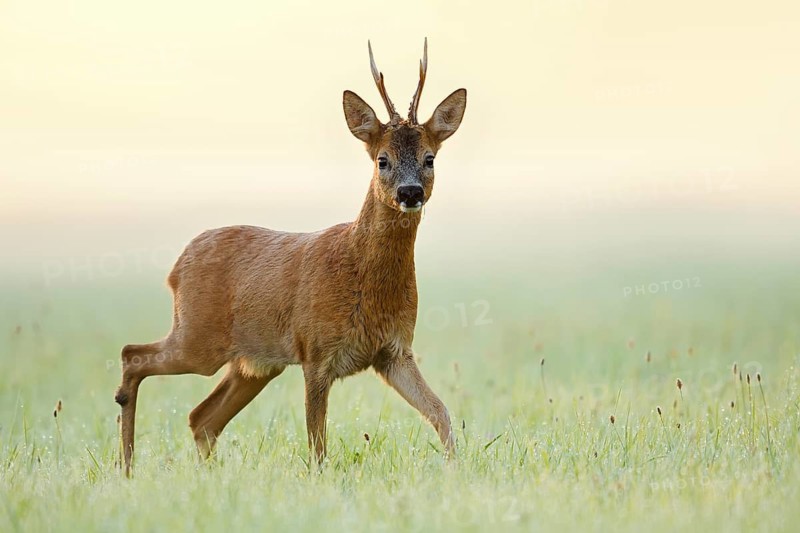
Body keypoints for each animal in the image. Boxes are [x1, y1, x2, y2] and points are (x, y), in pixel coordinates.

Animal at [114, 39, 467, 476]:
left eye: (429, 158)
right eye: (381, 159)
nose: (410, 192)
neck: (361, 273)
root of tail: (176, 267)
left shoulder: (394, 351)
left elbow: (441, 413)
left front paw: (455, 469)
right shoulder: (315, 350)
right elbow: (317, 444)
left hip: (255, 363)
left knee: (201, 417)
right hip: (198, 337)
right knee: (133, 356)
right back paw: (127, 466)